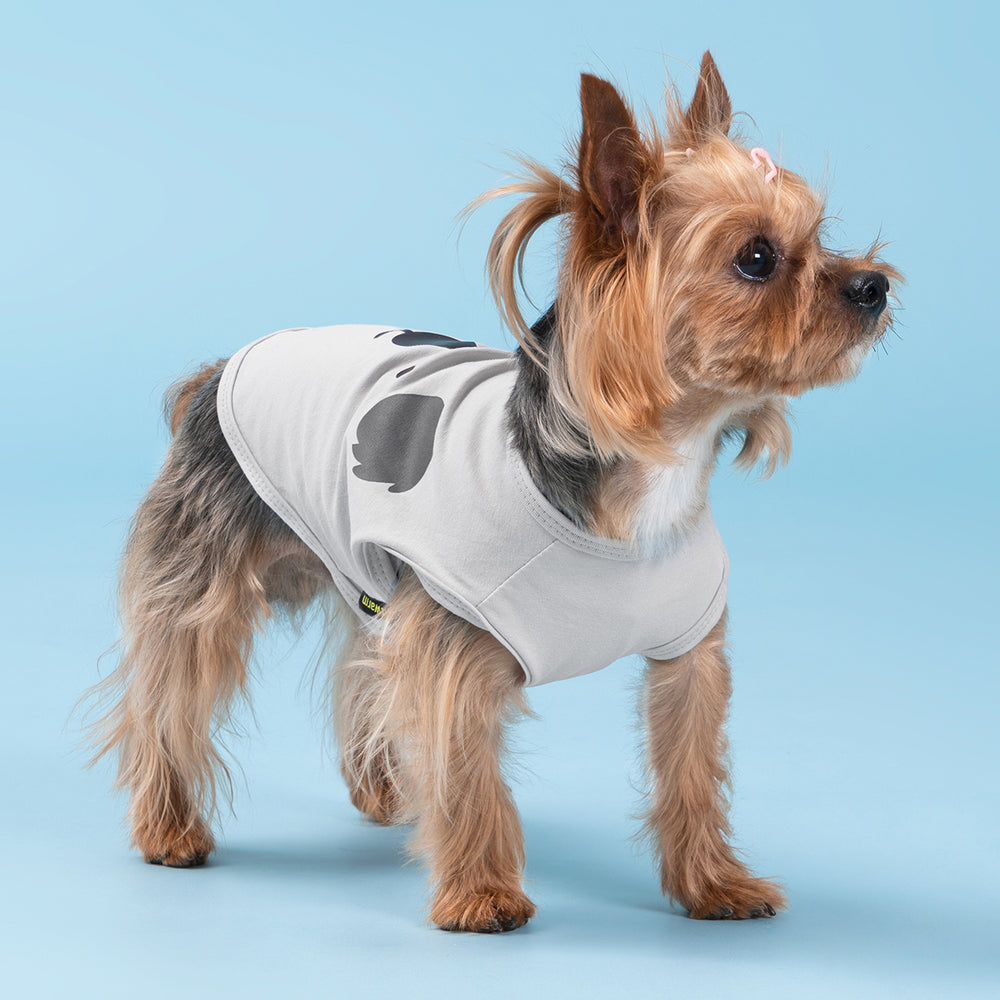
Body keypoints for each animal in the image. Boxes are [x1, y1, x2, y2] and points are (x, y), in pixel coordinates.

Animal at [86, 51, 897, 932]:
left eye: (820, 232)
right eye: (755, 258)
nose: (875, 286)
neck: (641, 485)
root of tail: (218, 369)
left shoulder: (689, 651)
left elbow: (691, 766)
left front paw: (712, 883)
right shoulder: (455, 638)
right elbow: (466, 766)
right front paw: (481, 894)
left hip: (364, 578)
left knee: (362, 669)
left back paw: (380, 790)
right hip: (203, 570)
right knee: (171, 695)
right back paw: (169, 827)